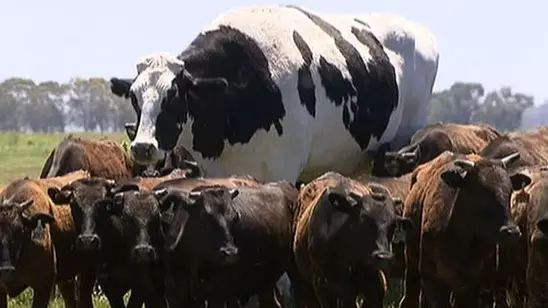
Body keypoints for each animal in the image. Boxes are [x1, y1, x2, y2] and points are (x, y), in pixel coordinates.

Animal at [398, 151, 532, 308]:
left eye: (510, 191)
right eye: (480, 192)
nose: (511, 232)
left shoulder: (472, 286)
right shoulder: (432, 279)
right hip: (411, 258)